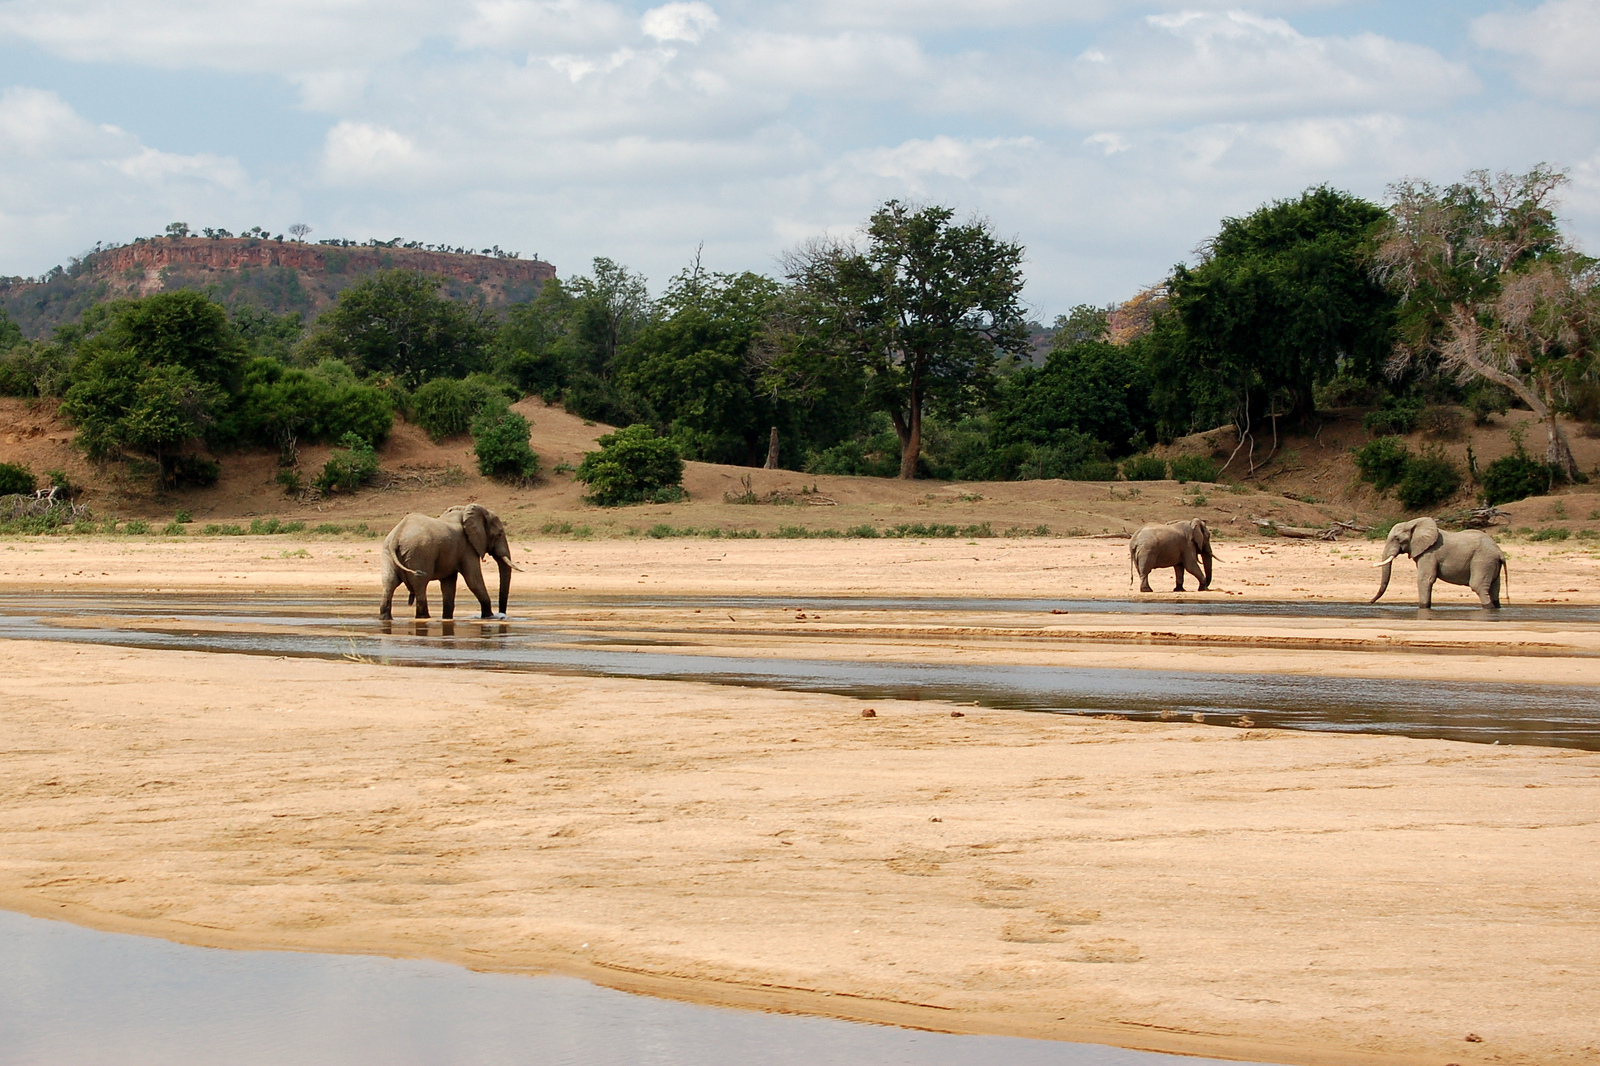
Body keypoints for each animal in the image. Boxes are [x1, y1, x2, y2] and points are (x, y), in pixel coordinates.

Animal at [377, 502, 515, 617]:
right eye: (499, 534)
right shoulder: (467, 548)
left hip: (387, 552)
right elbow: (473, 581)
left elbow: (448, 584)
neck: (466, 511)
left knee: (389, 582)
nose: (502, 615)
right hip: (419, 553)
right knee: (420, 584)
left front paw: (447, 618)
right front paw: (489, 617)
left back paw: (385, 618)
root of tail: (397, 535)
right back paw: (424, 617)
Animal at [1369, 515, 1504, 605]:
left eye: (1396, 538)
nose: (1370, 602)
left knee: (1478, 586)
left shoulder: (1429, 553)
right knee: (1494, 588)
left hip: (1483, 560)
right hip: (1491, 563)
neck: (1412, 524)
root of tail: (1499, 552)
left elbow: (1425, 579)